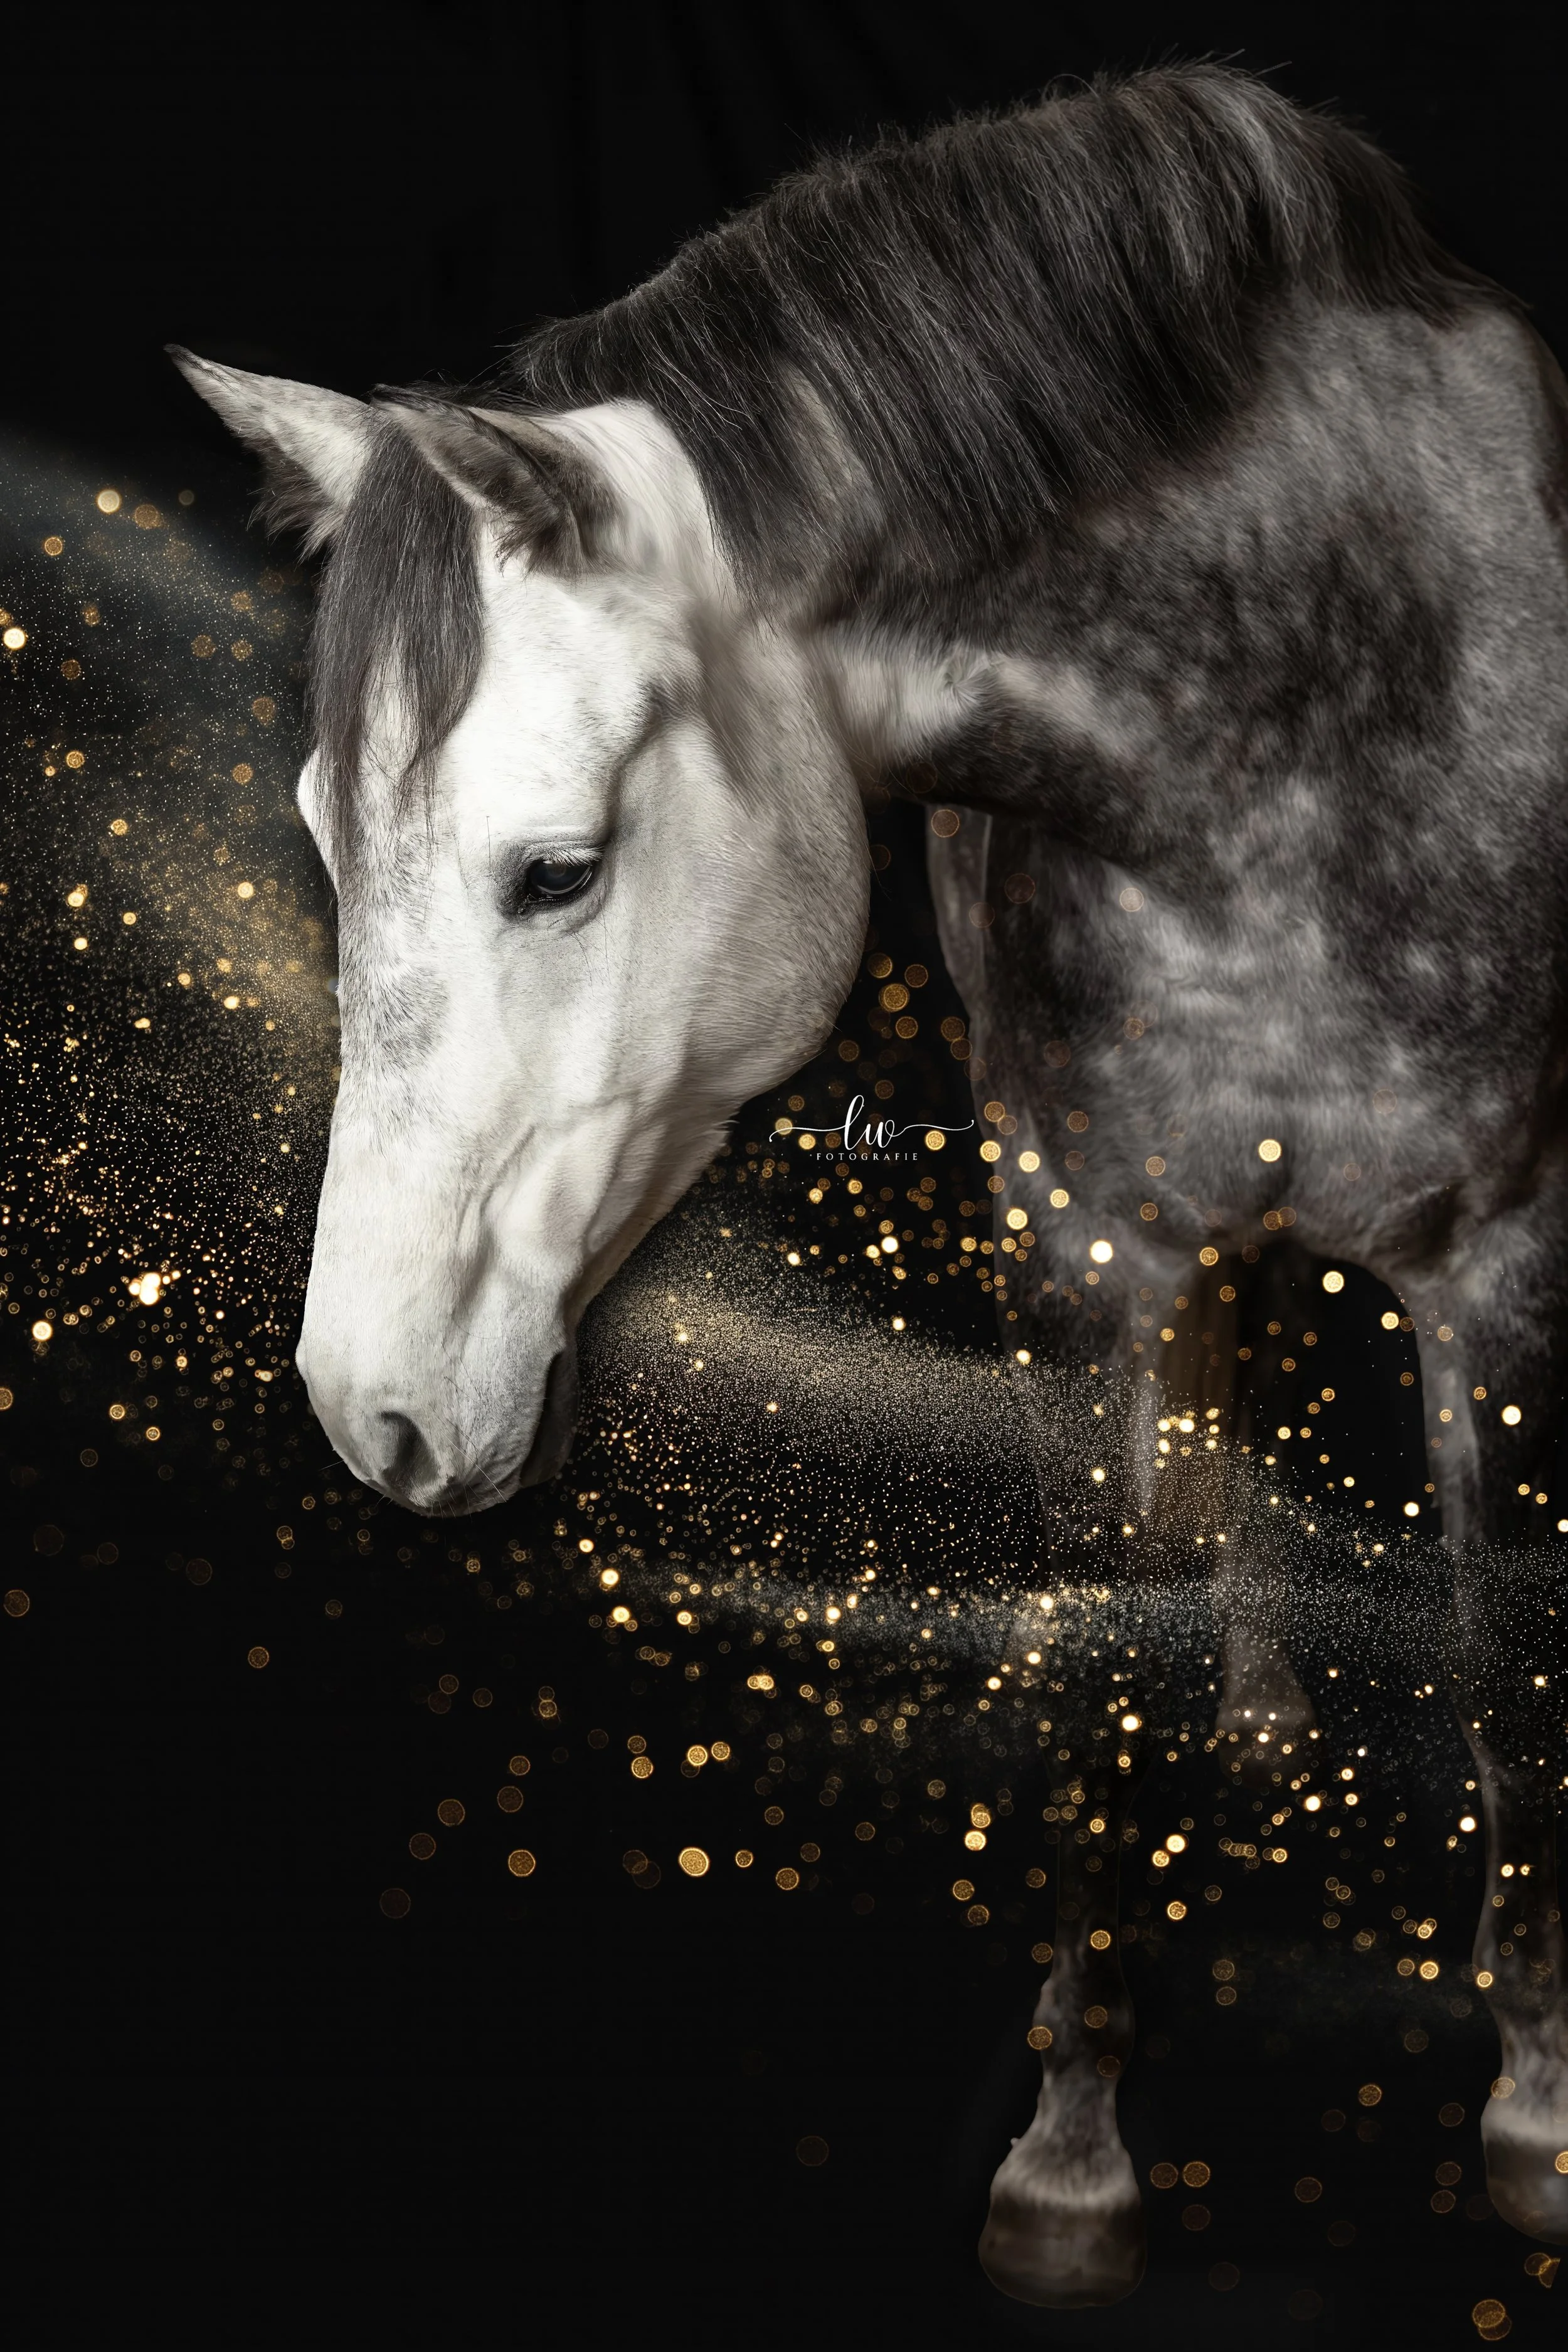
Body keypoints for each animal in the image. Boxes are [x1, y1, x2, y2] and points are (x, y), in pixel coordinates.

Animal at [172, 61, 1568, 2297]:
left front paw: (1531, 2099)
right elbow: (1096, 1670)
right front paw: (1071, 2151)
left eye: (554, 867)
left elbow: (1505, 1674)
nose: (367, 1409)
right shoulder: (1084, 1254)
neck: (1318, 700)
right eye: (320, 834)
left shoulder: (1506, 1275)